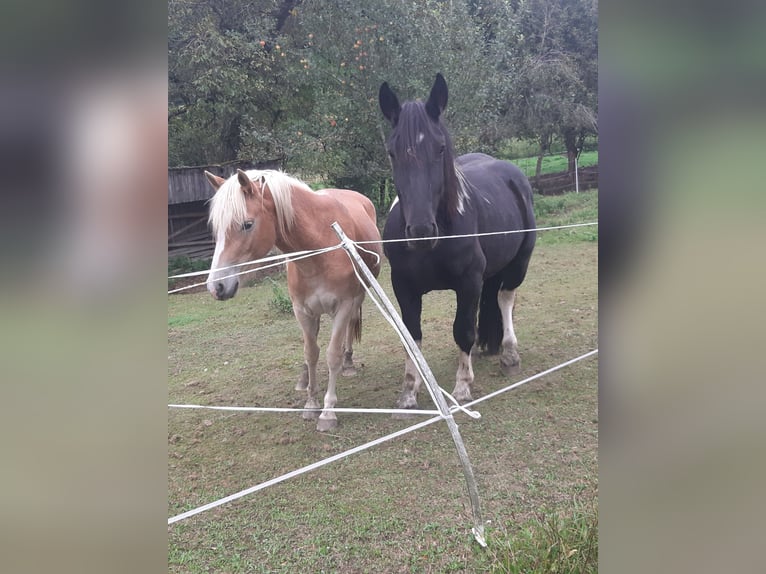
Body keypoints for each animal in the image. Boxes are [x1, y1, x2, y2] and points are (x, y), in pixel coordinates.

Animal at [206, 170, 382, 432]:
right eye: (216, 228)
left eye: (247, 224)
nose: (216, 287)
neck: (319, 246)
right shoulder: (302, 310)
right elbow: (311, 352)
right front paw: (311, 402)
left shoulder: (343, 306)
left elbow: (332, 354)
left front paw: (328, 412)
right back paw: (305, 378)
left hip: (356, 298)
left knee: (350, 329)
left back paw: (348, 363)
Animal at [380, 73, 536, 414]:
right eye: (392, 152)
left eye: (440, 148)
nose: (421, 230)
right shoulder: (403, 286)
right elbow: (412, 334)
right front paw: (409, 391)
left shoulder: (468, 282)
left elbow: (462, 329)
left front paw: (463, 386)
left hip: (518, 264)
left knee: (505, 299)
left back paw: (509, 354)